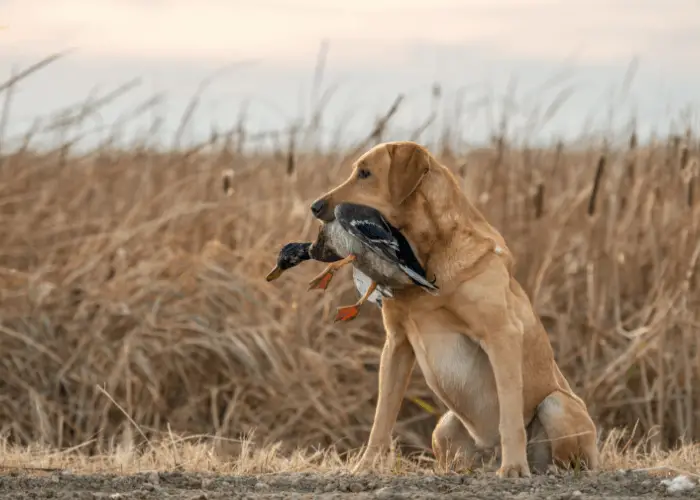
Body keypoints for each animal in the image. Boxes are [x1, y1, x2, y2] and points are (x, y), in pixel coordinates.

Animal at [308, 143, 600, 478]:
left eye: (365, 173)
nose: (315, 206)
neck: (428, 255)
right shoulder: (396, 345)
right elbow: (382, 419)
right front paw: (366, 466)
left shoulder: (502, 335)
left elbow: (510, 416)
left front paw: (513, 468)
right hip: (444, 427)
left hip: (556, 405)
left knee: (567, 458)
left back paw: (542, 468)